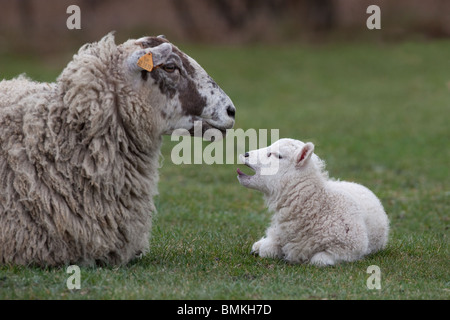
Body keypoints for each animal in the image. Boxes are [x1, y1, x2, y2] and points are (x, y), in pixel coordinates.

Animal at [237, 139, 388, 266]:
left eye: (278, 156)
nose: (245, 154)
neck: (319, 205)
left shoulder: (352, 248)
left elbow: (319, 260)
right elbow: (267, 250)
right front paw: (261, 247)